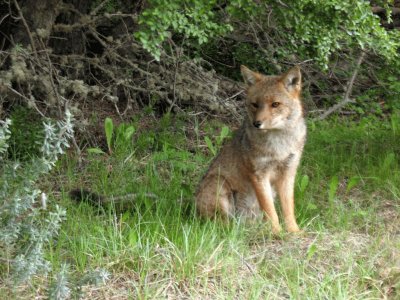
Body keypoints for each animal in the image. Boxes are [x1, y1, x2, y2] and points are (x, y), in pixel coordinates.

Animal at [196, 66, 306, 234]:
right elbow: (270, 210)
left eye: (275, 104)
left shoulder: (288, 173)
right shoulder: (259, 175)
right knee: (223, 226)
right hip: (220, 185)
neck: (279, 145)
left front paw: (293, 231)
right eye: (255, 104)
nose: (257, 123)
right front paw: (277, 232)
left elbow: (288, 209)